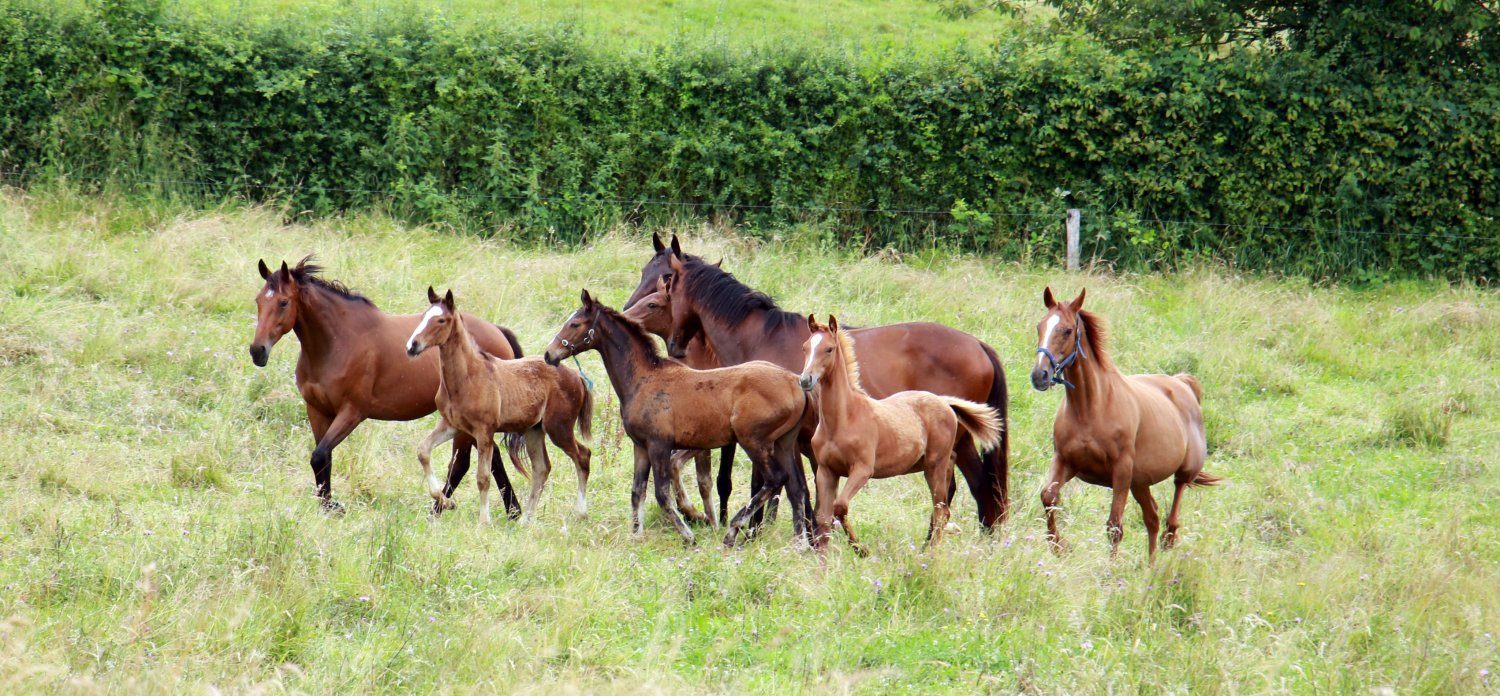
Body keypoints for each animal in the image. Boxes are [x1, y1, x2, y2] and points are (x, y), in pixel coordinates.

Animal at [250, 257, 526, 515]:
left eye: (283, 302)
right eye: (258, 301)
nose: (257, 351)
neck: (338, 342)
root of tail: (498, 332)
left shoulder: (352, 413)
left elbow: (319, 455)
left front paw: (333, 507)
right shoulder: (317, 411)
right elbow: (322, 458)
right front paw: (327, 506)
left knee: (461, 465)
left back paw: (437, 512)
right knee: (493, 458)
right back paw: (513, 511)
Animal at [406, 288, 593, 524]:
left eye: (441, 320)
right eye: (423, 317)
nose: (412, 346)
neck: (466, 377)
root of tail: (576, 375)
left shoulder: (483, 431)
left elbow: (483, 477)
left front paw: (483, 522)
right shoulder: (451, 425)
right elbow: (423, 450)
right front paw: (447, 502)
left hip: (558, 428)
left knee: (582, 456)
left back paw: (580, 513)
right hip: (534, 430)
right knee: (541, 469)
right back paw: (526, 520)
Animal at [544, 290, 810, 546]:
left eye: (575, 324)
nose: (549, 354)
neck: (644, 378)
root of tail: (795, 382)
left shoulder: (659, 446)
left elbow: (662, 495)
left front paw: (688, 535)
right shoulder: (641, 446)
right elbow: (637, 491)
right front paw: (636, 536)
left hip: (754, 441)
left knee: (775, 479)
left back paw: (733, 531)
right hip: (784, 443)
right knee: (796, 488)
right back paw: (800, 544)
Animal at [799, 315, 1002, 554]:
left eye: (829, 349)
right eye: (805, 347)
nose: (805, 379)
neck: (844, 418)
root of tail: (944, 402)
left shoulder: (862, 469)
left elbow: (840, 507)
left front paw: (862, 550)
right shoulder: (826, 471)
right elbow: (823, 520)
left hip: (934, 466)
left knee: (941, 510)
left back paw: (930, 554)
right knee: (943, 504)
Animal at [1031, 287, 1220, 562]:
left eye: (1066, 330)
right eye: (1040, 326)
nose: (1039, 376)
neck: (1091, 408)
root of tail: (1181, 383)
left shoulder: (1120, 471)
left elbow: (1114, 527)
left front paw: (1109, 568)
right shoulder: (1065, 461)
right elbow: (1048, 498)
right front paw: (1059, 546)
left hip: (1182, 471)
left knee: (1173, 512)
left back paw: (1166, 545)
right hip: (1140, 482)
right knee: (1152, 518)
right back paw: (1150, 566)